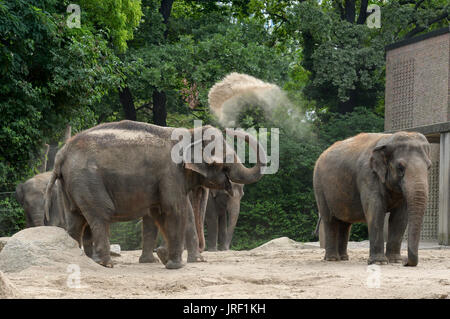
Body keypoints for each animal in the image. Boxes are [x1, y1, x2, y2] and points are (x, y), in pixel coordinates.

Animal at [44, 121, 268, 268]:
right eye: (225, 163)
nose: (231, 129)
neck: (189, 133)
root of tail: (61, 155)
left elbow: (160, 212)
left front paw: (164, 257)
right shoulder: (170, 173)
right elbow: (175, 209)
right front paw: (176, 265)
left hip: (71, 185)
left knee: (76, 219)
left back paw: (80, 260)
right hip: (88, 180)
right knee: (99, 214)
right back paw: (106, 264)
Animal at [312, 132, 432, 268]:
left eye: (429, 167)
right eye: (400, 167)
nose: (406, 262)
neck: (388, 139)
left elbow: (400, 218)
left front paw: (395, 261)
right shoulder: (368, 175)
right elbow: (376, 211)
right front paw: (380, 262)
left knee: (344, 223)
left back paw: (343, 258)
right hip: (319, 187)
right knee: (330, 220)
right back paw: (332, 259)